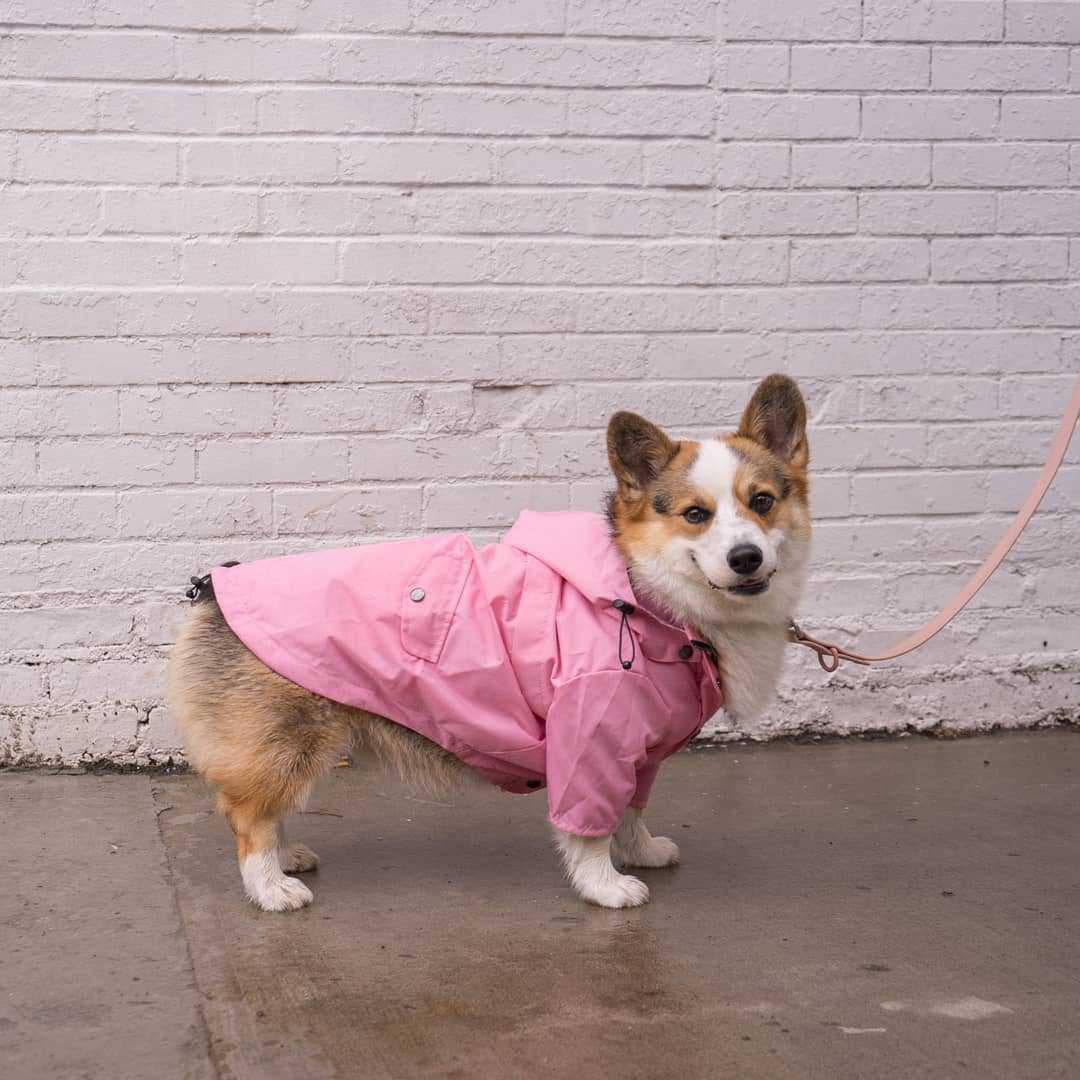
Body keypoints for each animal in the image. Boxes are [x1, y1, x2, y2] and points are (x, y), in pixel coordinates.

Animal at [170, 375, 812, 907]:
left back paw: (287, 858)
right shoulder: (591, 738)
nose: (746, 557)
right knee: (248, 815)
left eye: (762, 501)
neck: (644, 593)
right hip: (289, 742)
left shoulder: (640, 751)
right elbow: (591, 827)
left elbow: (631, 807)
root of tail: (212, 591)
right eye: (695, 514)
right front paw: (605, 886)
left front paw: (644, 851)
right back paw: (272, 886)